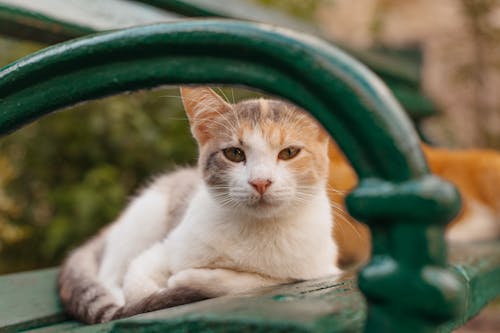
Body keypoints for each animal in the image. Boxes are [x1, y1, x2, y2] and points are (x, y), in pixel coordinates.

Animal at [57, 85, 340, 322]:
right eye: (234, 153)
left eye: (289, 152)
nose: (260, 182)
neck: (257, 230)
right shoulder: (163, 249)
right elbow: (137, 287)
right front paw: (163, 290)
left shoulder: (320, 268)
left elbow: (261, 280)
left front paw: (187, 280)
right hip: (146, 216)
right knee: (110, 276)